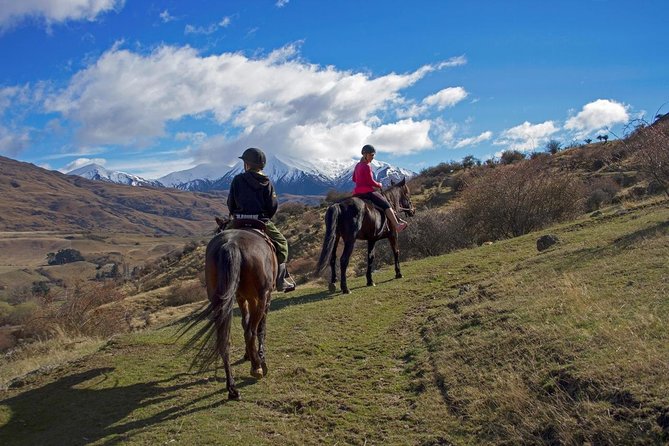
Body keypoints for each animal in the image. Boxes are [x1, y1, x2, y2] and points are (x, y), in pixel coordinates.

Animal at [177, 217, 276, 400]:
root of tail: (231, 244)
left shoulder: (241, 298)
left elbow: (245, 322)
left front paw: (248, 354)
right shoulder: (264, 297)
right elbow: (259, 328)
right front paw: (258, 357)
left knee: (224, 338)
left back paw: (232, 388)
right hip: (261, 296)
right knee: (251, 331)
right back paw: (258, 367)